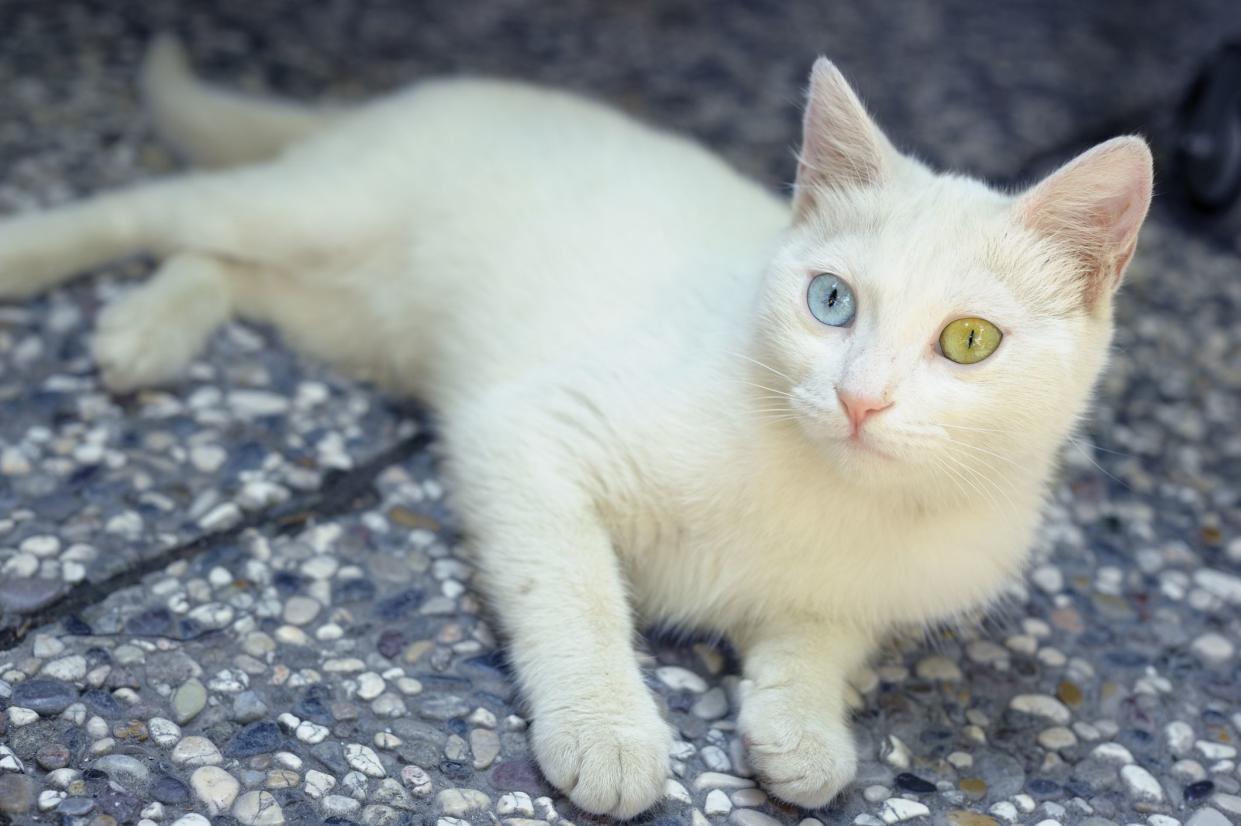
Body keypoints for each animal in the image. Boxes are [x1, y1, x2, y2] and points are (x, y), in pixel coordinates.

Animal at [0, 38, 1151, 818]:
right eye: (829, 302)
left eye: (967, 341)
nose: (860, 399)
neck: (829, 488)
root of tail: (428, 93)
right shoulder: (530, 432)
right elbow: (575, 591)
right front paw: (608, 730)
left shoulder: (859, 598)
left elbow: (817, 641)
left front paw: (802, 732)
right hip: (323, 214)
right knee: (167, 207)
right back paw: (43, 265)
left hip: (349, 314)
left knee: (221, 263)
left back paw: (148, 332)